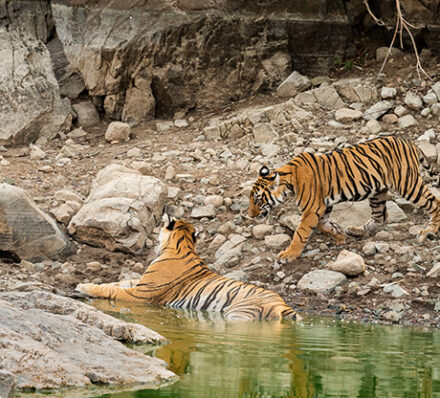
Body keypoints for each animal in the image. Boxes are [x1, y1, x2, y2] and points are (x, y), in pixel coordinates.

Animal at [76, 216, 300, 322]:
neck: (182, 244)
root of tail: (283, 304)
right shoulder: (140, 283)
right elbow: (117, 282)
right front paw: (86, 282)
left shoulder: (141, 294)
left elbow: (112, 290)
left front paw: (84, 287)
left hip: (239, 313)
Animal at [249, 135, 440, 262]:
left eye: (258, 200)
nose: (250, 216)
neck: (289, 181)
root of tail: (408, 141)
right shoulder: (323, 206)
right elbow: (323, 224)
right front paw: (339, 235)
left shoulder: (312, 209)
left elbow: (300, 233)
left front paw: (289, 254)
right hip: (377, 192)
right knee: (380, 216)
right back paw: (357, 230)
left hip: (408, 184)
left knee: (435, 203)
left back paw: (429, 231)